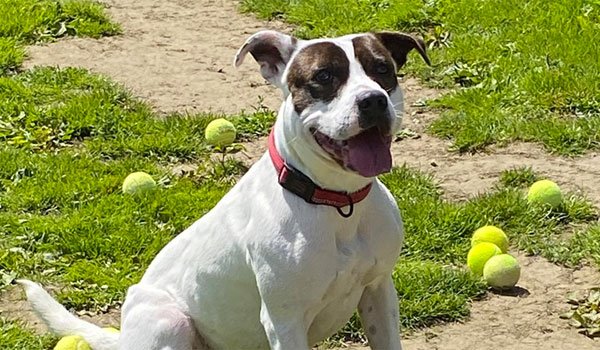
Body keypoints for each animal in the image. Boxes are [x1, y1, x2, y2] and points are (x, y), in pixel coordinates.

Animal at [19, 30, 432, 350]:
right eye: (325, 76)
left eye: (382, 70)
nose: (373, 100)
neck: (338, 202)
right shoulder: (284, 320)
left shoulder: (379, 292)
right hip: (168, 321)